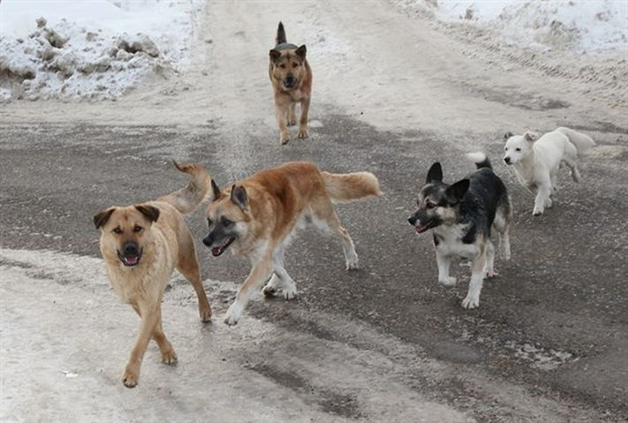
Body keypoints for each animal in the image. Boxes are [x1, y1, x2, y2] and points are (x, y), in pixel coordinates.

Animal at [92, 161, 212, 388]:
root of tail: (161, 202)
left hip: (187, 263)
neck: (133, 273)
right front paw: (166, 349)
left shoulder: (149, 303)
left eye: (138, 228)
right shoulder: (137, 303)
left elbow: (139, 343)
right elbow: (154, 330)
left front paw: (131, 374)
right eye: (117, 230)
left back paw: (205, 310)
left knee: (198, 285)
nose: (130, 248)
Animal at [201, 161, 380, 326]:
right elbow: (279, 268)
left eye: (226, 222)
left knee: (344, 233)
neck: (253, 218)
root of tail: (312, 167)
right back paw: (274, 284)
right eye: (209, 221)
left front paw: (234, 313)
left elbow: (245, 287)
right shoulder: (262, 254)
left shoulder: (263, 259)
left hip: (322, 223)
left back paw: (352, 258)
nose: (205, 241)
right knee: (280, 259)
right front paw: (289, 286)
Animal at [410, 154, 512, 310]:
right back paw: (488, 269)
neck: (451, 225)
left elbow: (474, 281)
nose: (410, 219)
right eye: (417, 202)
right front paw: (452, 281)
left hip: (499, 220)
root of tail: (486, 170)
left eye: (431, 205)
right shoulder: (443, 253)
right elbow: (442, 279)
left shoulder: (478, 255)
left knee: (504, 232)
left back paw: (505, 251)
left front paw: (471, 299)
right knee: (490, 248)